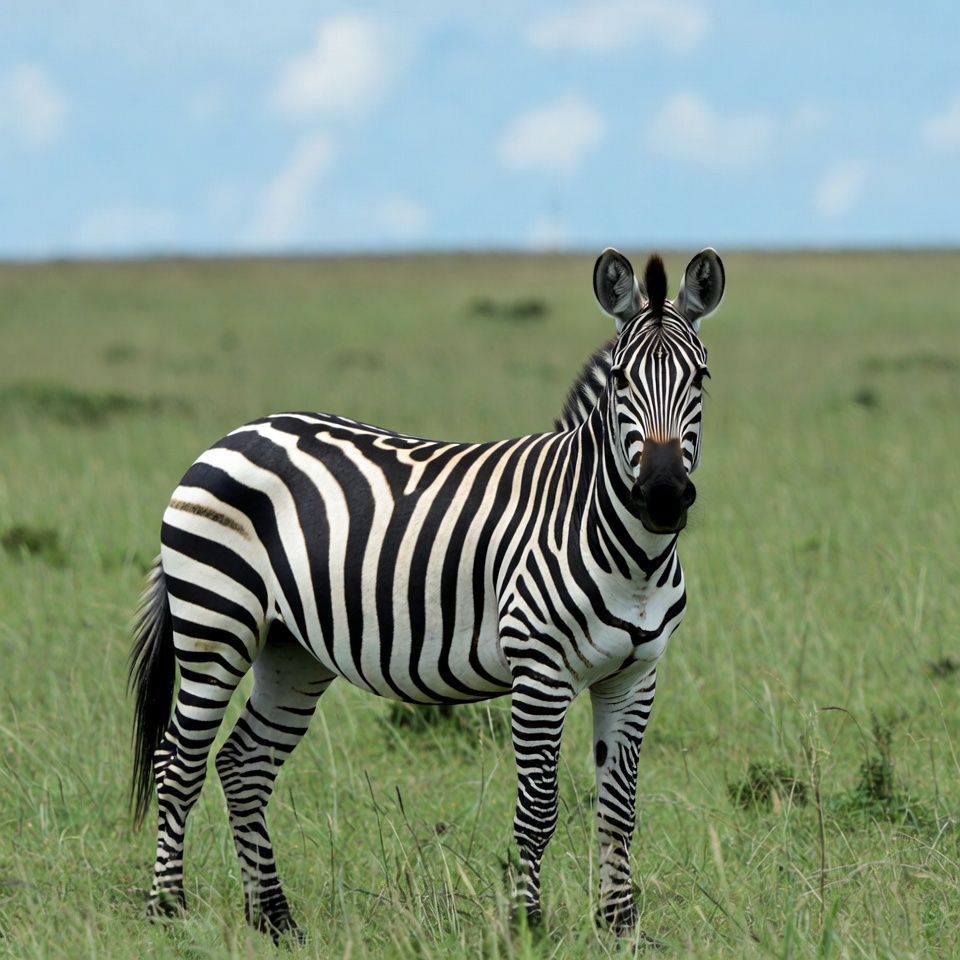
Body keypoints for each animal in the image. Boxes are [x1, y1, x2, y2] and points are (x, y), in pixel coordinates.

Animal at [129, 246, 724, 939]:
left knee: (242, 766)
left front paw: (621, 926)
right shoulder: (540, 673)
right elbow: (538, 808)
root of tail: (233, 436)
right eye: (624, 381)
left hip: (290, 650)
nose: (663, 496)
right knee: (177, 763)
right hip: (214, 624)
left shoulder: (635, 675)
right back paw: (167, 911)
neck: (630, 554)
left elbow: (619, 808)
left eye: (701, 380)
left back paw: (275, 920)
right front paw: (527, 924)